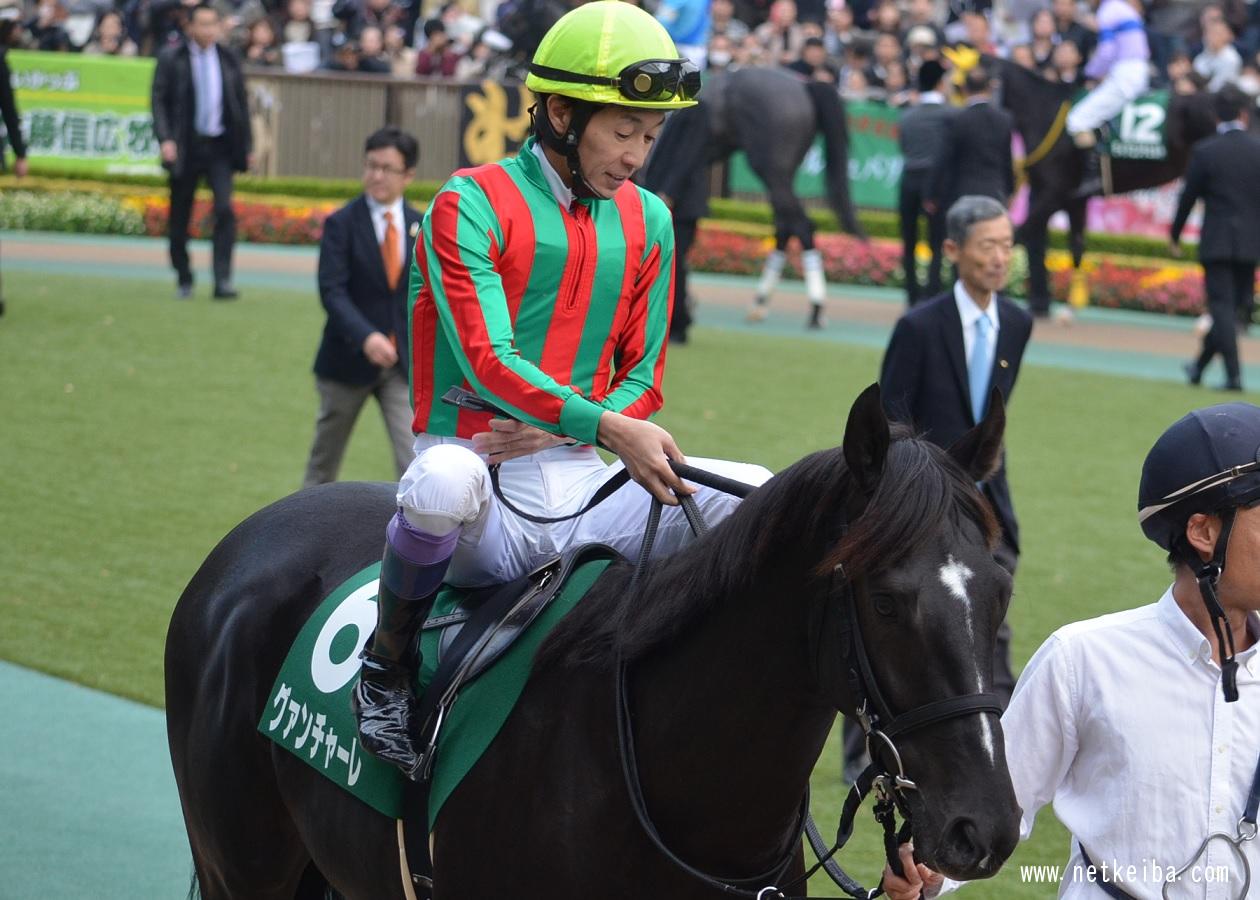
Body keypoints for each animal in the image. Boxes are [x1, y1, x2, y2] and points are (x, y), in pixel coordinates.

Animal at [645, 66, 866, 330]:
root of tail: (804, 85)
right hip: (780, 172)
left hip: (770, 166)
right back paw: (761, 302)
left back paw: (815, 307)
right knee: (786, 225)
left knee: (802, 225)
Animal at [978, 54, 1216, 317]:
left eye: (977, 77)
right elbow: (1076, 247)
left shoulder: (1054, 193)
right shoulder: (1075, 200)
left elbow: (1018, 233)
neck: (1045, 110)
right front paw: (1070, 306)